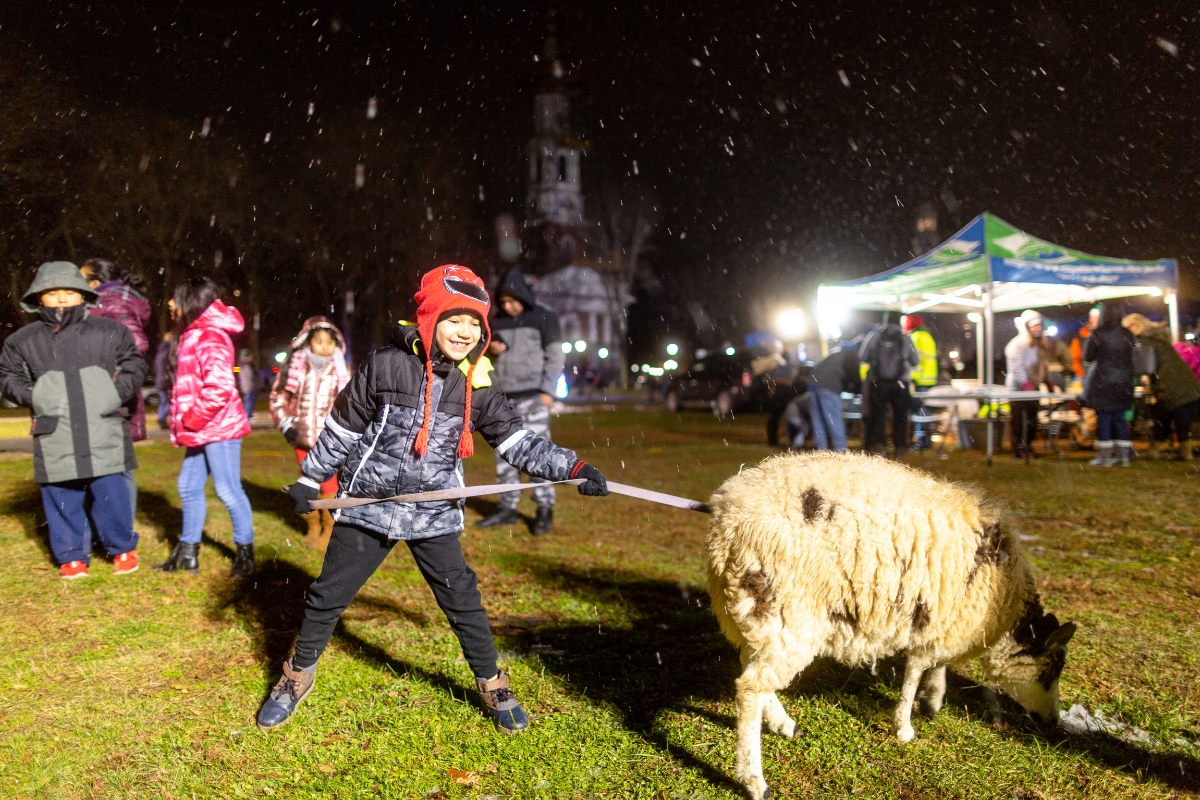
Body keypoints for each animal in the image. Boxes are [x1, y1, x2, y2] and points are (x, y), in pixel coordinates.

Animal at [705, 451, 1076, 800]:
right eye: (1049, 673)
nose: (1053, 723)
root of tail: (726, 519)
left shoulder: (941, 621)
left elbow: (935, 664)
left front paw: (933, 698)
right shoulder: (938, 617)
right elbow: (915, 671)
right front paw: (905, 727)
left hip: (758, 614)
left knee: (750, 668)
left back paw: (784, 725)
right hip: (790, 612)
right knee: (750, 688)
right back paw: (754, 780)